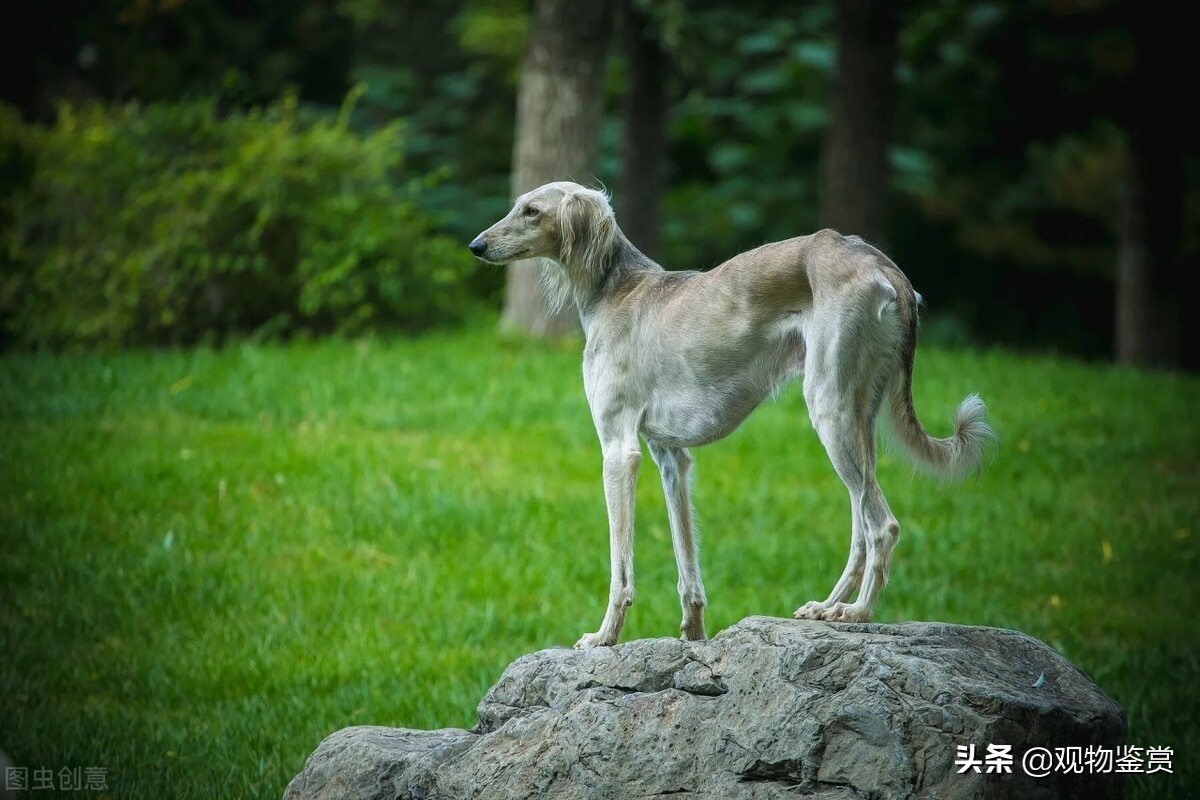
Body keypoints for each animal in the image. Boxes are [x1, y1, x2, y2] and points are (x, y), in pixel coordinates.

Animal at [468, 183, 993, 652]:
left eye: (532, 210)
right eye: (517, 205)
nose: (477, 246)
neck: (616, 289)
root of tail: (881, 263)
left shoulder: (619, 451)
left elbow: (620, 568)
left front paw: (605, 636)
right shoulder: (670, 457)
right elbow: (687, 562)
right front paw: (694, 635)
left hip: (829, 407)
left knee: (881, 526)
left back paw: (859, 612)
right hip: (856, 416)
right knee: (860, 526)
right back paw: (828, 606)